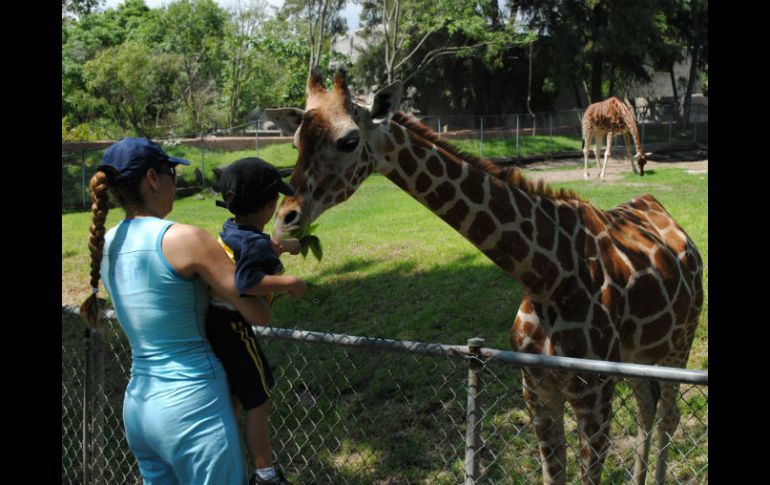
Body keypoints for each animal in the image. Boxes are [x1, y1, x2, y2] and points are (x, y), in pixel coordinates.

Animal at [264, 69, 704, 484]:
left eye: (349, 141)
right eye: (295, 144)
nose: (285, 221)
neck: (546, 275)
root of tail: (672, 220)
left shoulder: (594, 394)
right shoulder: (537, 389)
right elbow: (552, 474)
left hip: (678, 345)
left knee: (668, 415)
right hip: (639, 356)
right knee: (648, 405)